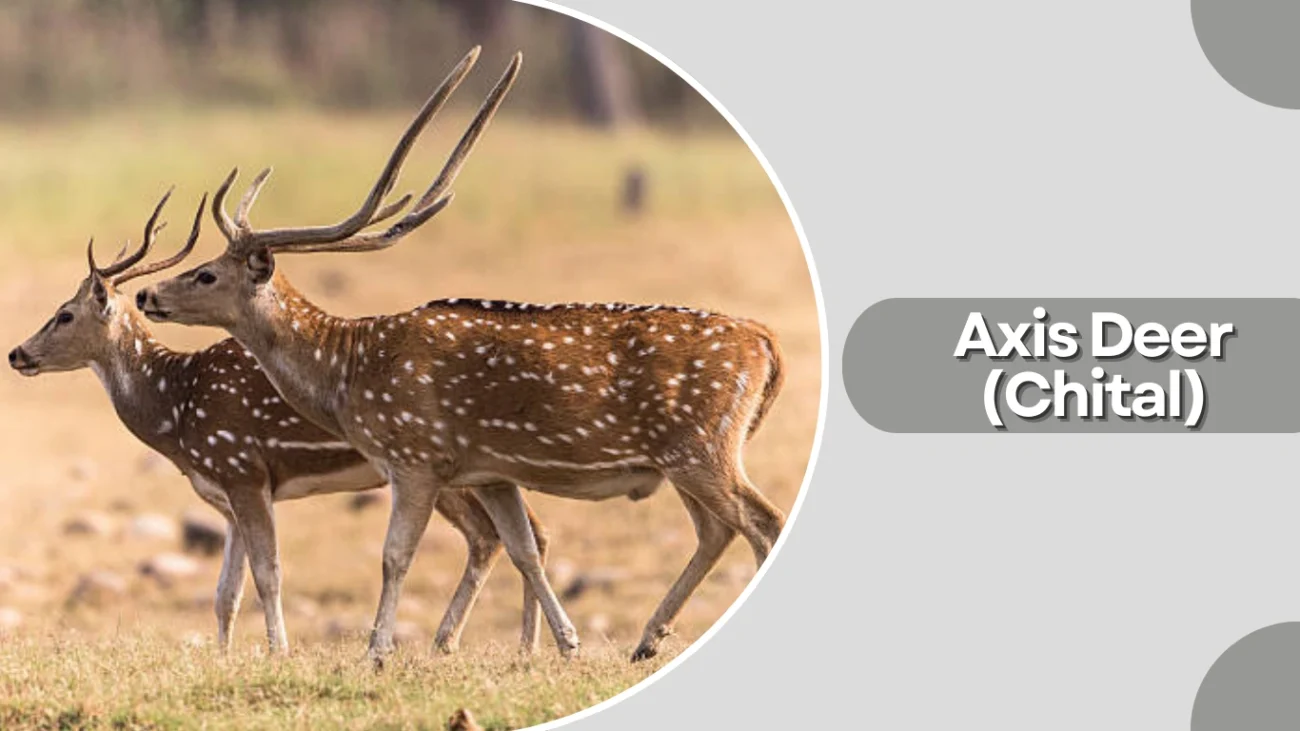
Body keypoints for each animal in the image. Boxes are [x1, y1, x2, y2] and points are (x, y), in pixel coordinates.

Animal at [8, 190, 554, 656]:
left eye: (64, 314)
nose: (17, 353)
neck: (177, 413)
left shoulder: (243, 470)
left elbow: (268, 574)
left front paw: (279, 652)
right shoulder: (227, 496)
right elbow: (225, 593)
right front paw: (224, 658)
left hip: (437, 466)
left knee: (497, 534)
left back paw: (497, 645)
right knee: (520, 532)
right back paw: (504, 645)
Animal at [137, 46, 789, 663]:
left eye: (205, 273)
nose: (147, 294)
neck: (348, 373)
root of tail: (765, 342)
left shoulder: (414, 456)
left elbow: (395, 555)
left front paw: (377, 652)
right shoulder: (492, 470)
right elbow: (524, 547)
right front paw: (567, 644)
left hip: (700, 447)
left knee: (762, 522)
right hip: (690, 457)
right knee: (715, 531)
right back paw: (646, 640)